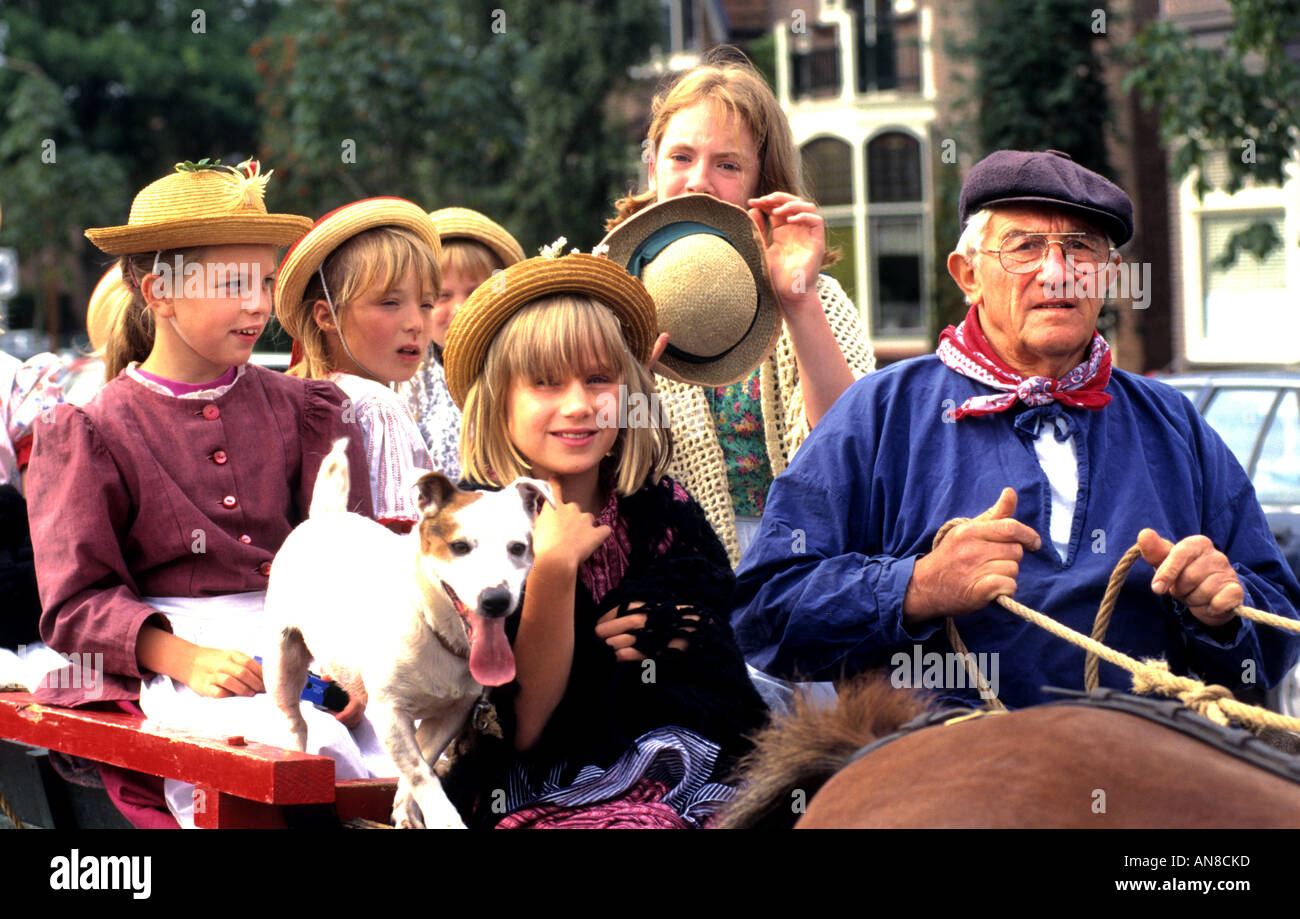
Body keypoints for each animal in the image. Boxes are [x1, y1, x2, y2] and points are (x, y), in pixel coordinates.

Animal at [263, 441, 548, 831]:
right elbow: (420, 773)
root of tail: (325, 516)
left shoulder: (451, 714)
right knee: (293, 719)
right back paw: (293, 754)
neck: (434, 628)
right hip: (283, 659)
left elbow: (420, 765)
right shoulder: (388, 712)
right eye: (460, 547)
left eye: (517, 548)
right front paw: (446, 820)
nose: (496, 600)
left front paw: (405, 811)